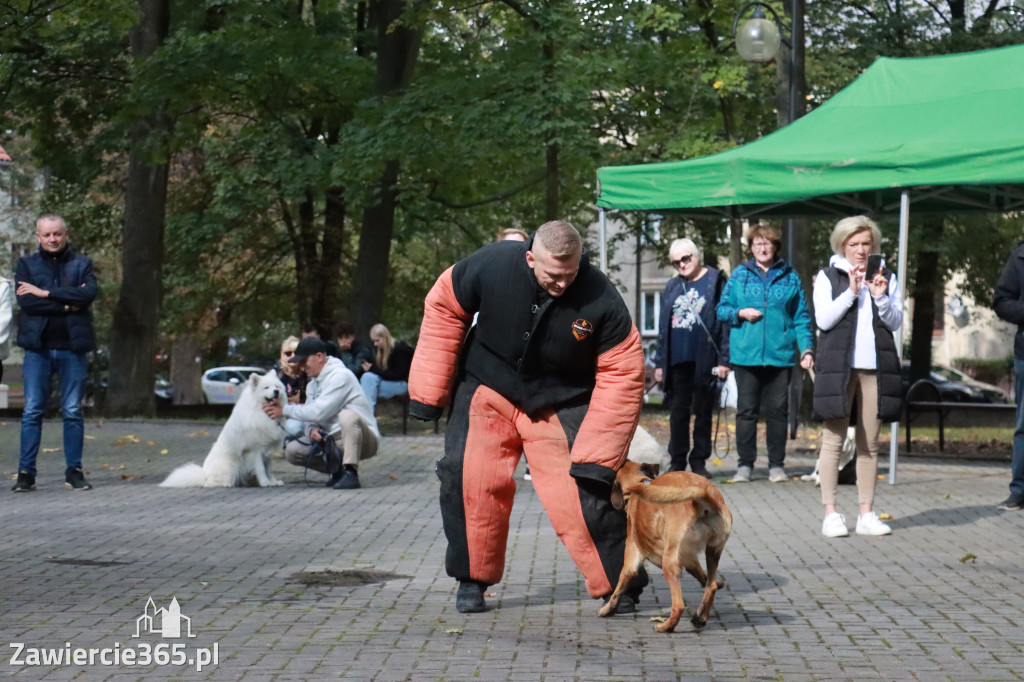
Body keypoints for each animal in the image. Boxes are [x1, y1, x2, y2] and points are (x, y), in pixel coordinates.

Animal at [159, 368, 288, 485]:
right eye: (266, 388)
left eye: (277, 386)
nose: (276, 391)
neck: (262, 412)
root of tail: (204, 474)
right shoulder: (255, 450)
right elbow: (261, 469)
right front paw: (265, 482)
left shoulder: (268, 451)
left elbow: (268, 469)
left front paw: (273, 481)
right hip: (230, 465)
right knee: (210, 483)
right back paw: (226, 483)